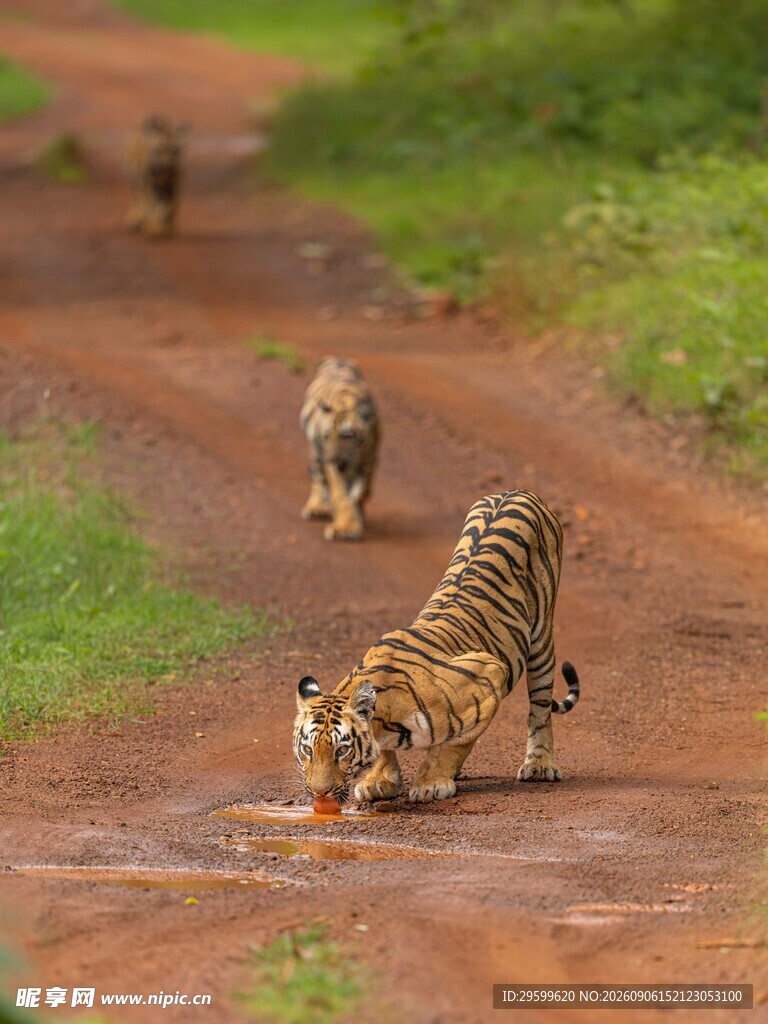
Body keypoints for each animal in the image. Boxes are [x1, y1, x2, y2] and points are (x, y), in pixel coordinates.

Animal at [294, 490, 580, 803]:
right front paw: (380, 781)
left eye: (342, 750)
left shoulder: (488, 674)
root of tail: (517, 492)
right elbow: (386, 751)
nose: (319, 793)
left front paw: (430, 783)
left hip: (542, 636)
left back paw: (539, 765)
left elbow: (453, 745)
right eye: (307, 749)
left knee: (539, 707)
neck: (387, 722)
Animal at [300, 357, 379, 542]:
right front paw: (345, 528)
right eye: (326, 435)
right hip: (316, 453)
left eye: (347, 435)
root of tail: (336, 359)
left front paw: (355, 519)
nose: (331, 458)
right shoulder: (334, 467)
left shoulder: (369, 461)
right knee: (317, 477)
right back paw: (317, 507)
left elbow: (361, 492)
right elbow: (341, 495)